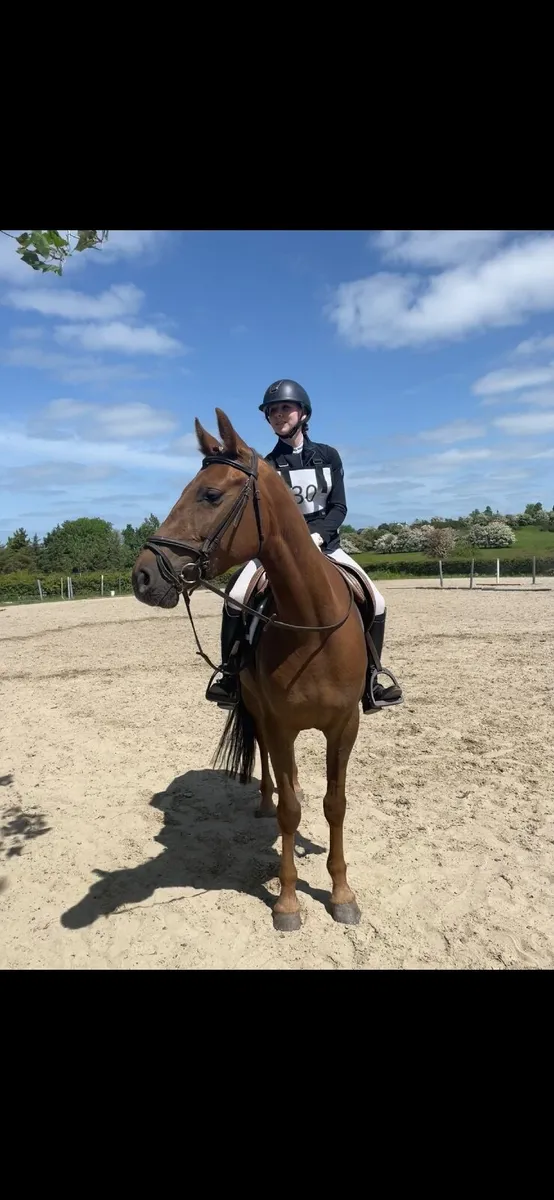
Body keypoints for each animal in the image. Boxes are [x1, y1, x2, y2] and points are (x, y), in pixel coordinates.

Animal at [132, 409, 367, 932]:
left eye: (210, 495)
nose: (142, 577)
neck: (311, 625)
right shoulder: (280, 724)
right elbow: (290, 810)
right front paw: (288, 901)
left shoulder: (345, 726)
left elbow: (335, 804)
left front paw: (342, 894)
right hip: (260, 713)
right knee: (270, 769)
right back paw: (264, 801)